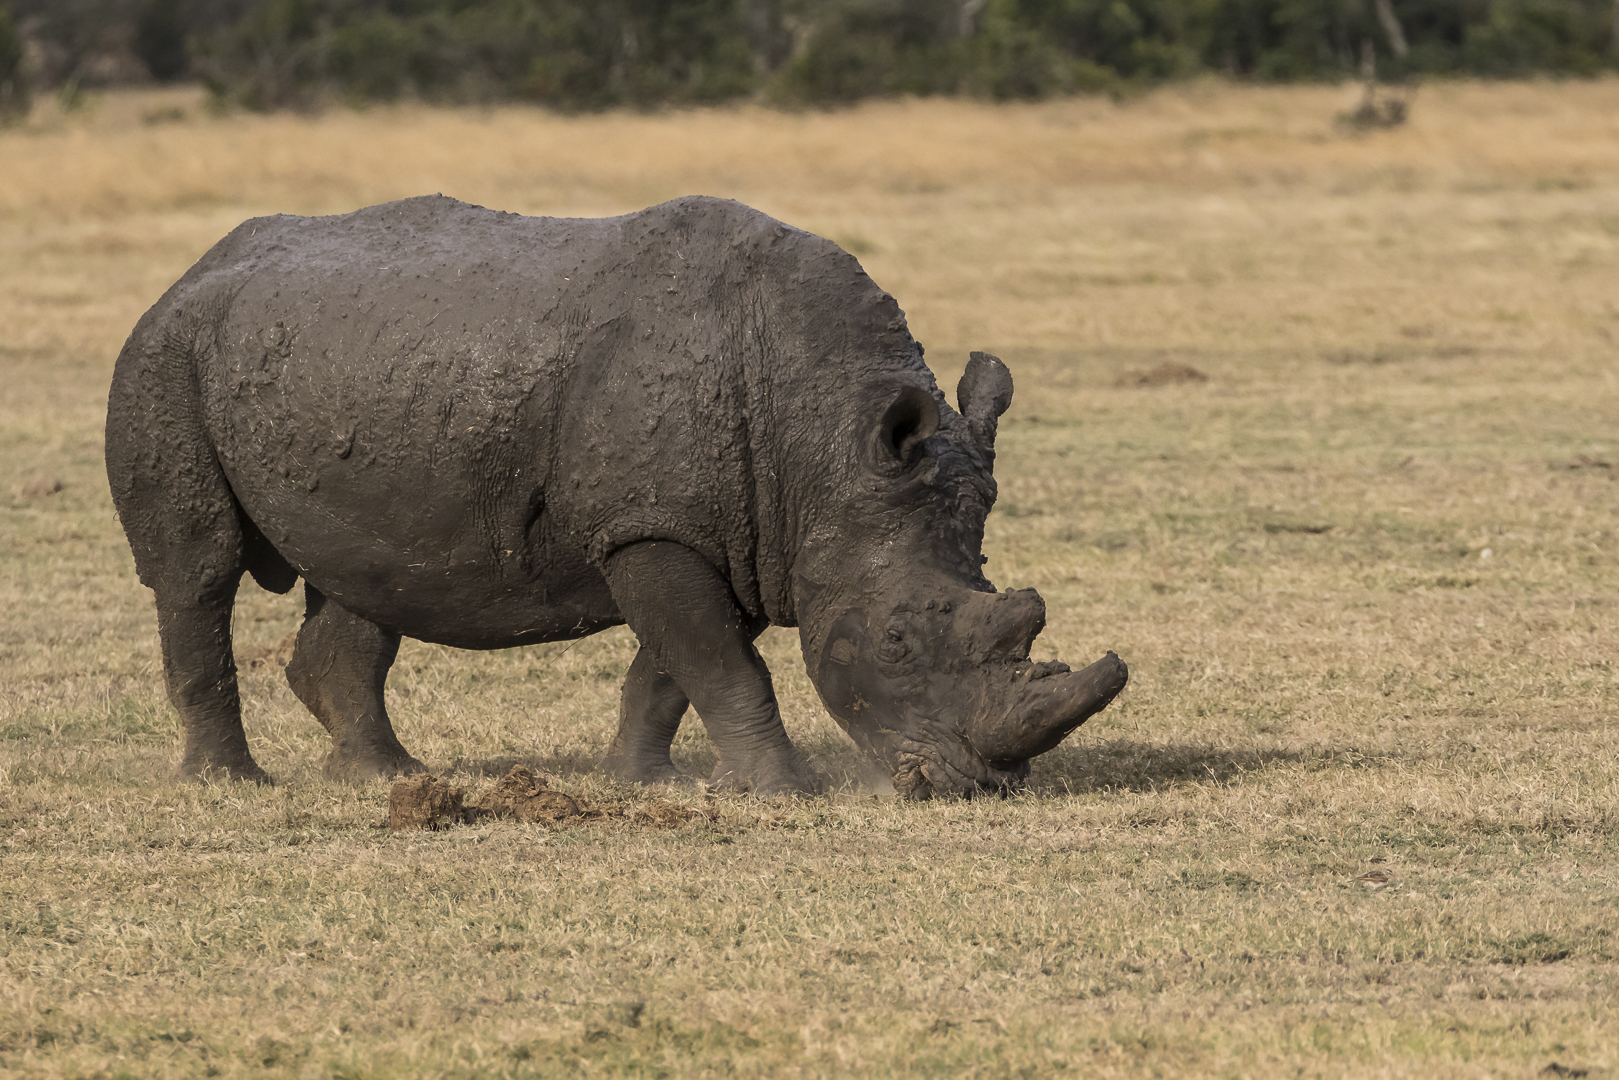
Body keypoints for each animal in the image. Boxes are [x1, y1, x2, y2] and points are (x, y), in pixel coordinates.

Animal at [104, 196, 1126, 803]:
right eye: (898, 641)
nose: (968, 786)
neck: (824, 443)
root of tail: (190, 270)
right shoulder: (657, 529)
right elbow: (720, 664)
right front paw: (785, 791)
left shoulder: (729, 532)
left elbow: (675, 668)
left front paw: (643, 784)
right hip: (163, 355)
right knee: (198, 572)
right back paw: (231, 784)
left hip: (330, 370)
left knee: (363, 582)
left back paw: (387, 776)